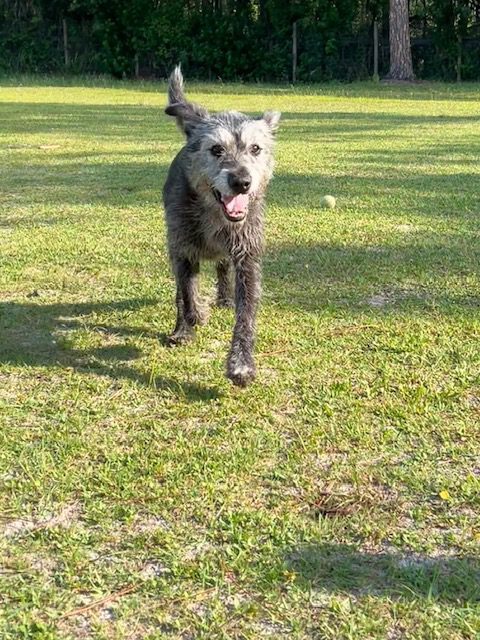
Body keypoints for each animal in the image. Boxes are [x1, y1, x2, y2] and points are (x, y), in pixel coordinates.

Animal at [163, 66, 280, 384]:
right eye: (216, 149)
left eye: (255, 148)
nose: (241, 182)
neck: (215, 214)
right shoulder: (182, 248)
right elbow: (187, 291)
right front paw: (194, 317)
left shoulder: (247, 256)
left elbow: (246, 313)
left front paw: (241, 363)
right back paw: (182, 329)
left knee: (222, 267)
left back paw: (224, 297)